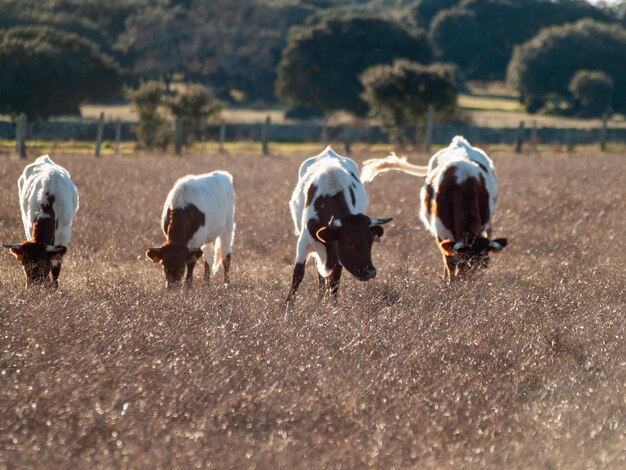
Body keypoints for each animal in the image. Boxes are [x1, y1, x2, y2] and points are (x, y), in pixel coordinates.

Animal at [3, 155, 79, 286]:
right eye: (24, 264)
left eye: (43, 264)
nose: (34, 288)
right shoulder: (29, 227)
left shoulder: (64, 234)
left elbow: (56, 267)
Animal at [360, 136, 508, 282]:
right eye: (464, 261)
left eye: (484, 264)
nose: (470, 283)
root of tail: (460, 143)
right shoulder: (440, 231)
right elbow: (449, 262)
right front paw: (450, 283)